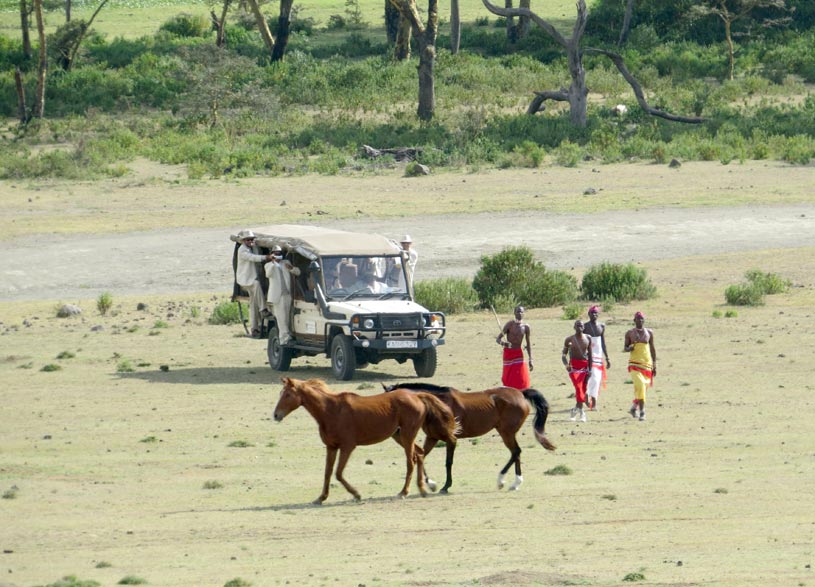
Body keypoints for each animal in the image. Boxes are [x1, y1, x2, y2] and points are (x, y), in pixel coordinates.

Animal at [270, 376, 456, 506]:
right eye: (280, 393)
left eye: (287, 394)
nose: (276, 415)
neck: (330, 410)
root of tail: (417, 395)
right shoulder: (331, 447)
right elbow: (328, 473)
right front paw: (321, 498)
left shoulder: (347, 447)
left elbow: (338, 473)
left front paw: (356, 494)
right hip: (399, 436)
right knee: (419, 454)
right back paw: (424, 488)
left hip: (407, 435)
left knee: (411, 460)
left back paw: (404, 492)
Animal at [382, 384, 556, 494]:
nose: (395, 431)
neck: (436, 403)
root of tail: (520, 393)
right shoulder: (432, 438)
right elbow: (421, 456)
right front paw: (431, 484)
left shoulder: (450, 439)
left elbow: (448, 462)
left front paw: (445, 486)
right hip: (507, 432)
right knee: (516, 453)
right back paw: (515, 484)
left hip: (506, 432)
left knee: (516, 452)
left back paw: (502, 480)